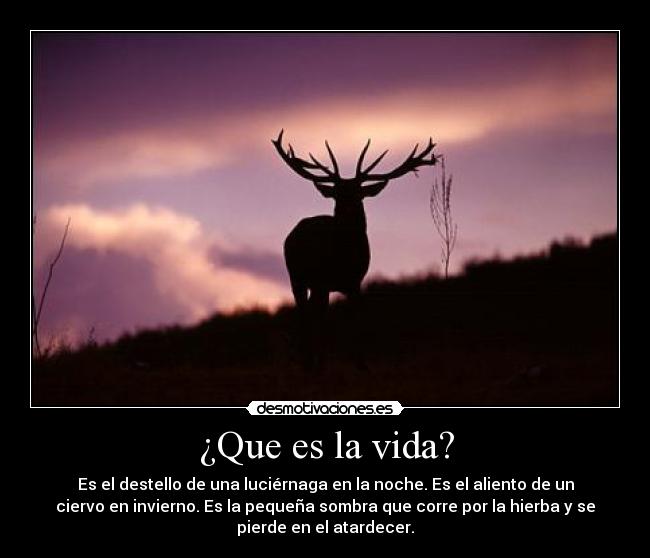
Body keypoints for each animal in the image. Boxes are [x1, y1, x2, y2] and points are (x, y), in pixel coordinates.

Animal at [272, 129, 439, 370]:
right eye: (337, 194)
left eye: (358, 193)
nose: (347, 209)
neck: (344, 256)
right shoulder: (323, 280)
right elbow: (323, 320)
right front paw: (321, 365)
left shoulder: (356, 282)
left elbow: (356, 321)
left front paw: (362, 365)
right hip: (297, 277)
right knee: (306, 314)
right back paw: (310, 363)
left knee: (312, 313)